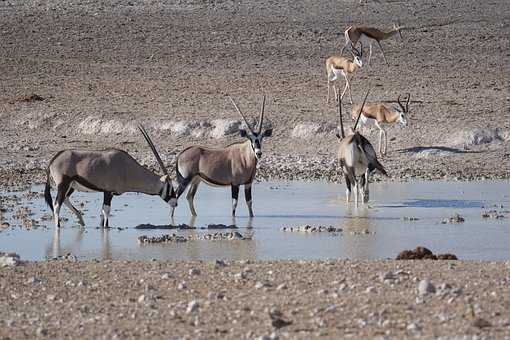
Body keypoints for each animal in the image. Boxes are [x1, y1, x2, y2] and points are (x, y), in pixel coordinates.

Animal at [44, 126, 179, 230]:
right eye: (170, 187)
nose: (176, 203)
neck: (127, 168)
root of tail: (54, 159)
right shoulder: (108, 192)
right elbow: (106, 210)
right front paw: (105, 229)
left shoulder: (110, 194)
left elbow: (104, 211)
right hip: (63, 184)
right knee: (57, 204)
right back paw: (58, 226)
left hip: (71, 186)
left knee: (65, 200)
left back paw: (81, 220)